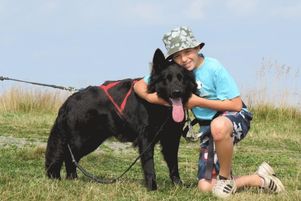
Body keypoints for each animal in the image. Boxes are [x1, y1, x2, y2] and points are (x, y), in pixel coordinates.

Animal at [43, 48, 196, 190]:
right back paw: (72, 179)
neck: (160, 106)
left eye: (181, 78)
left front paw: (178, 185)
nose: (177, 92)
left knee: (71, 158)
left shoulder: (171, 138)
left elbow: (174, 165)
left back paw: (72, 179)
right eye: (167, 79)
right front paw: (152, 187)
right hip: (82, 140)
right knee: (69, 157)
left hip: (92, 140)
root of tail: (69, 100)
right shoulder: (146, 139)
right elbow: (149, 165)